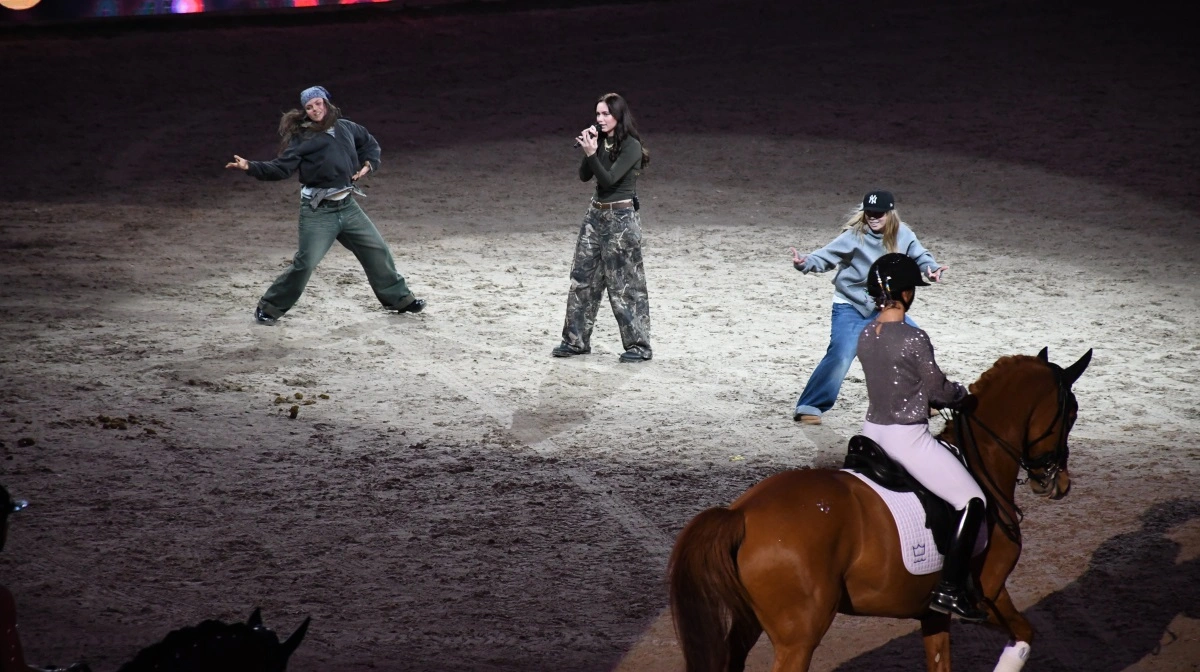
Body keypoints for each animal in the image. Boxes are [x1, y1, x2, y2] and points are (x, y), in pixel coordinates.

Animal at [672, 348, 1094, 667]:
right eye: (1071, 413)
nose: (1058, 483)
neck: (979, 462)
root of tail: (741, 514)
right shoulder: (989, 592)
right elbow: (1024, 636)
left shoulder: (933, 615)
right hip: (799, 638)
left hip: (749, 624)